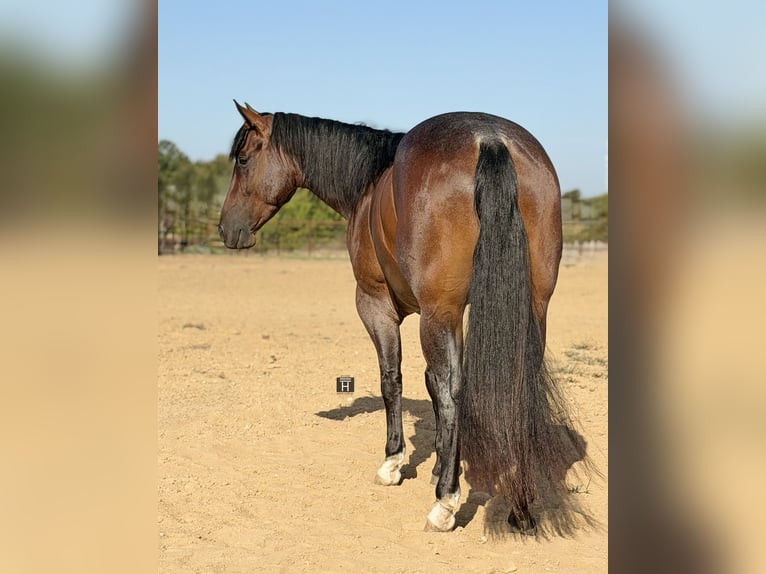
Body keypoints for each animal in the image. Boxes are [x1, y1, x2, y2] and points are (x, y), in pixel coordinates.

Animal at [219, 101, 582, 533]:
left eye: (243, 160)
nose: (225, 228)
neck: (370, 185)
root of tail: (490, 139)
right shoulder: (455, 315)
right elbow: (432, 384)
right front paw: (441, 462)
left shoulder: (379, 305)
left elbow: (394, 380)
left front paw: (395, 462)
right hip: (532, 308)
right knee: (517, 386)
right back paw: (520, 503)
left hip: (437, 314)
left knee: (451, 390)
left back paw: (445, 504)